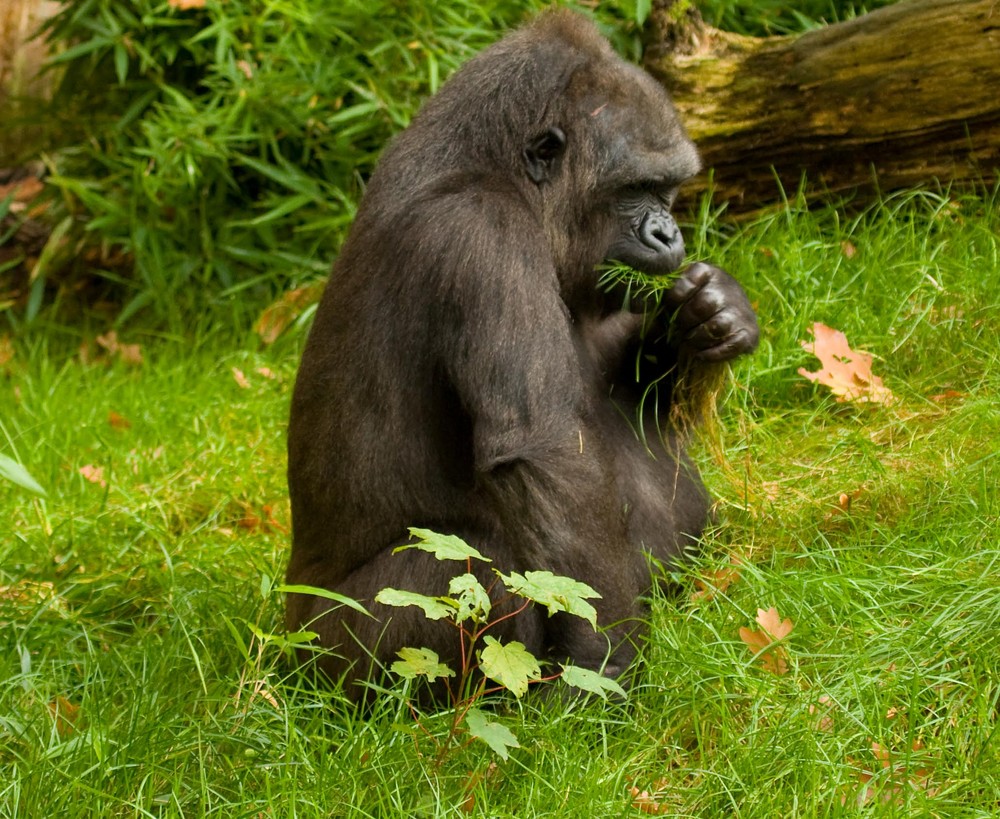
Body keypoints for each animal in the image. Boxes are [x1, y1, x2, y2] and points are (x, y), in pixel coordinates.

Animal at [286, 9, 752, 696]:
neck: (491, 162)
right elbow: (546, 449)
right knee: (474, 567)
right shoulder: (482, 233)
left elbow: (623, 386)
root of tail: (284, 643)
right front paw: (602, 670)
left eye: (667, 190)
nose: (668, 233)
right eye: (638, 188)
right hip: (329, 661)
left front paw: (713, 314)